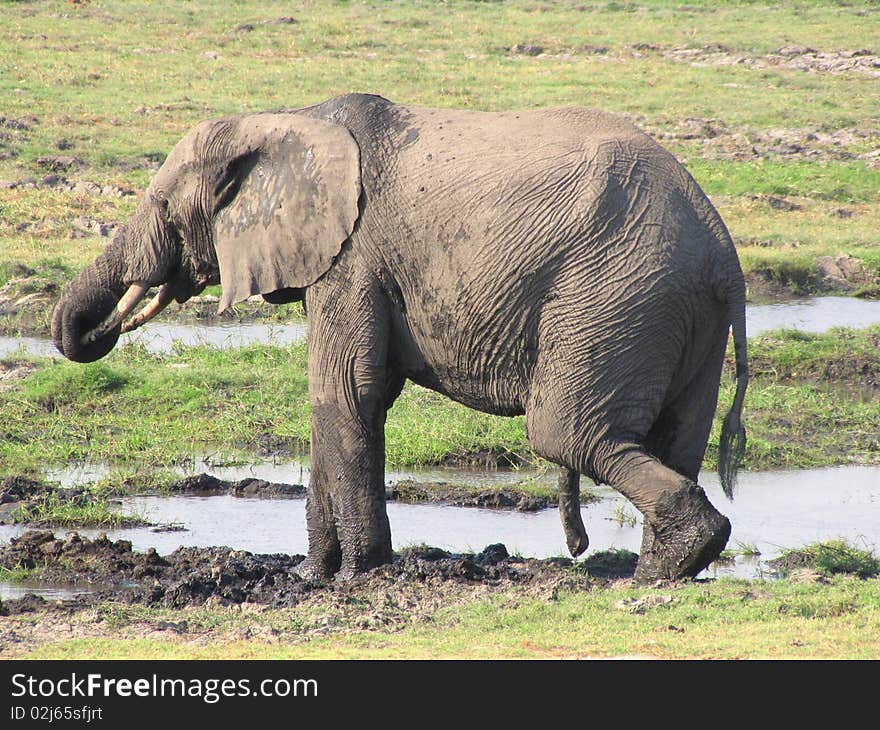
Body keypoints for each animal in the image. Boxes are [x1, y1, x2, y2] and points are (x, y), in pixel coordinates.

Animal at [51, 94, 744, 580]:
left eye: (164, 204)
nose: (81, 332)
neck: (286, 122)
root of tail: (722, 248)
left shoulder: (351, 257)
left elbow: (344, 393)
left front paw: (353, 576)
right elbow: (358, 398)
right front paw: (313, 575)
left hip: (617, 293)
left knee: (566, 432)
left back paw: (661, 569)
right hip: (673, 309)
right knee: (673, 438)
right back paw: (666, 568)